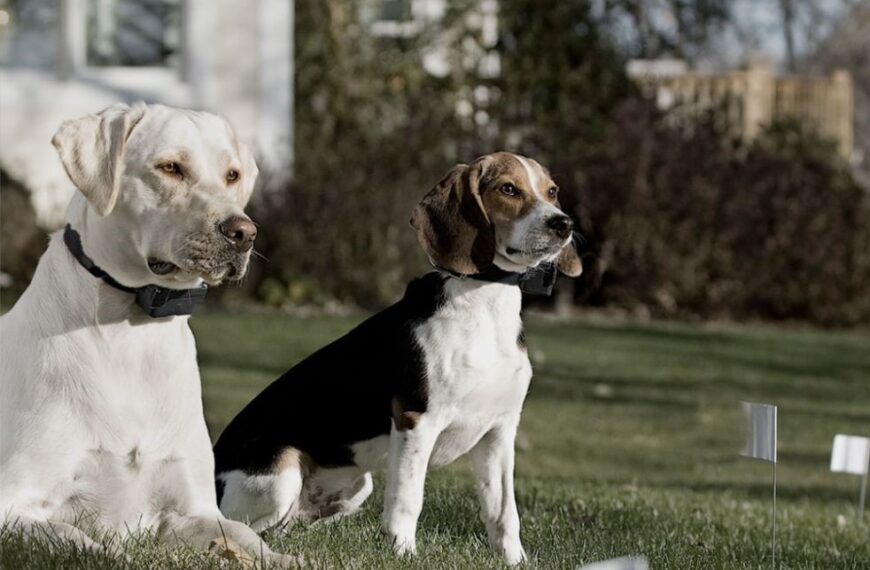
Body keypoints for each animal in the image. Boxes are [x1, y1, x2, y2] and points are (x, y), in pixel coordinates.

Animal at [0, 102, 296, 564]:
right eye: (170, 167)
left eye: (231, 175)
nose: (244, 233)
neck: (133, 332)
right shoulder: (14, 504)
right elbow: (76, 539)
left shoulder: (192, 510)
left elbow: (245, 536)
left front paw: (283, 558)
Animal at [215, 152, 584, 564]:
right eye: (508, 189)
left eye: (552, 191)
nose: (563, 223)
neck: (483, 298)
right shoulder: (416, 421)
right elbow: (409, 499)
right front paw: (403, 553)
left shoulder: (500, 432)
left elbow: (504, 511)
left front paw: (514, 560)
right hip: (282, 475)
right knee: (243, 527)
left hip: (357, 486)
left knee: (288, 528)